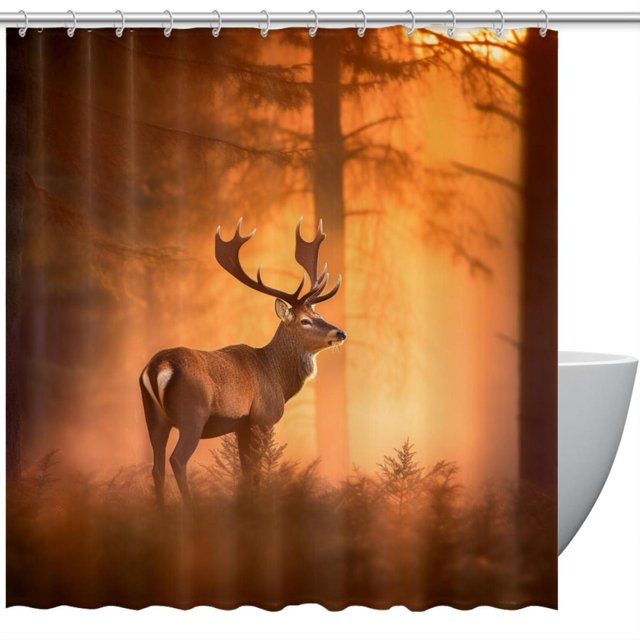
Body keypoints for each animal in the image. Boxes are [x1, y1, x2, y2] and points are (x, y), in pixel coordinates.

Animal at [139, 218, 346, 503]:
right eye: (305, 320)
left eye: (320, 315)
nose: (340, 333)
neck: (277, 379)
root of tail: (157, 367)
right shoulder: (263, 417)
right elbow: (257, 470)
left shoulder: (241, 425)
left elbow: (246, 471)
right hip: (192, 414)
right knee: (177, 460)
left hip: (153, 416)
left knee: (156, 466)